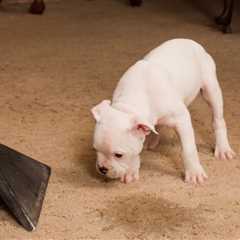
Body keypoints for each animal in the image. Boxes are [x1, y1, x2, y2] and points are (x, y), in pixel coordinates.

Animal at [91, 39, 235, 184]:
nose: (102, 169)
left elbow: (188, 149)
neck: (131, 102)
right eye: (95, 149)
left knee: (218, 119)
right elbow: (137, 151)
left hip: (210, 90)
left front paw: (194, 172)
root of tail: (190, 41)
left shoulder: (182, 119)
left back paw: (223, 148)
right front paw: (132, 169)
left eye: (118, 155)